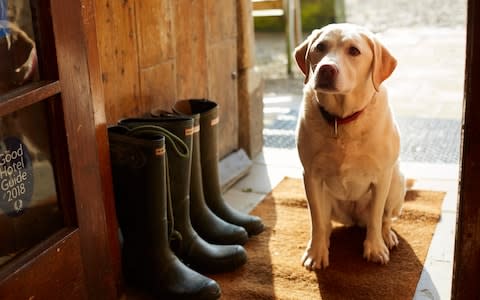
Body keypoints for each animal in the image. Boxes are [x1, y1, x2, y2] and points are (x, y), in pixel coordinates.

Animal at [296, 24, 404, 270]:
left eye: (354, 51)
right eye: (320, 47)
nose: (326, 69)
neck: (342, 120)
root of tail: (353, 219)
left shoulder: (382, 176)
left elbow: (376, 217)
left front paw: (374, 248)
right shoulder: (311, 176)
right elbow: (316, 220)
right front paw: (316, 252)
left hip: (396, 182)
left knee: (384, 218)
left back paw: (387, 236)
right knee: (324, 223)